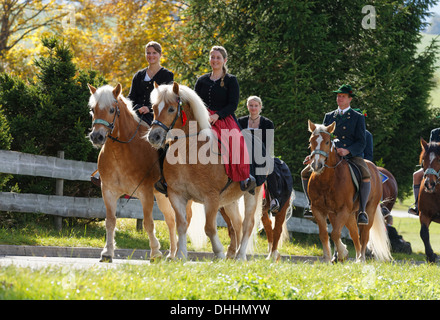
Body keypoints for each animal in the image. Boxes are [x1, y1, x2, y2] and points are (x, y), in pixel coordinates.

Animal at [87, 83, 192, 262]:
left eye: (111, 110)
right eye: (93, 109)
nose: (97, 137)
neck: (121, 151)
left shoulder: (145, 193)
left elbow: (148, 223)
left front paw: (155, 252)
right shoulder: (108, 191)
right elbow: (110, 221)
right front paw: (107, 252)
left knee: (184, 220)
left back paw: (178, 252)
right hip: (163, 196)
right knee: (171, 221)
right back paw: (172, 254)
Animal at [146, 82, 262, 260]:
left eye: (171, 109)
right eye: (153, 108)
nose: (154, 137)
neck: (189, 151)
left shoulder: (211, 197)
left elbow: (209, 228)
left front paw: (218, 253)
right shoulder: (176, 195)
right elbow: (182, 225)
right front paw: (181, 255)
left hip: (252, 193)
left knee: (248, 224)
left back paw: (240, 256)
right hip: (229, 200)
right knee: (236, 223)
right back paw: (233, 255)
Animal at [308, 120, 390, 262]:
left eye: (327, 142)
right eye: (310, 141)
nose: (317, 165)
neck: (327, 179)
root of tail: (374, 168)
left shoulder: (344, 210)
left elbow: (335, 233)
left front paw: (342, 253)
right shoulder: (319, 209)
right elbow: (324, 234)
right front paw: (328, 258)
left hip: (369, 210)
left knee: (364, 235)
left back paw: (361, 259)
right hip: (349, 214)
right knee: (354, 234)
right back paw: (356, 258)